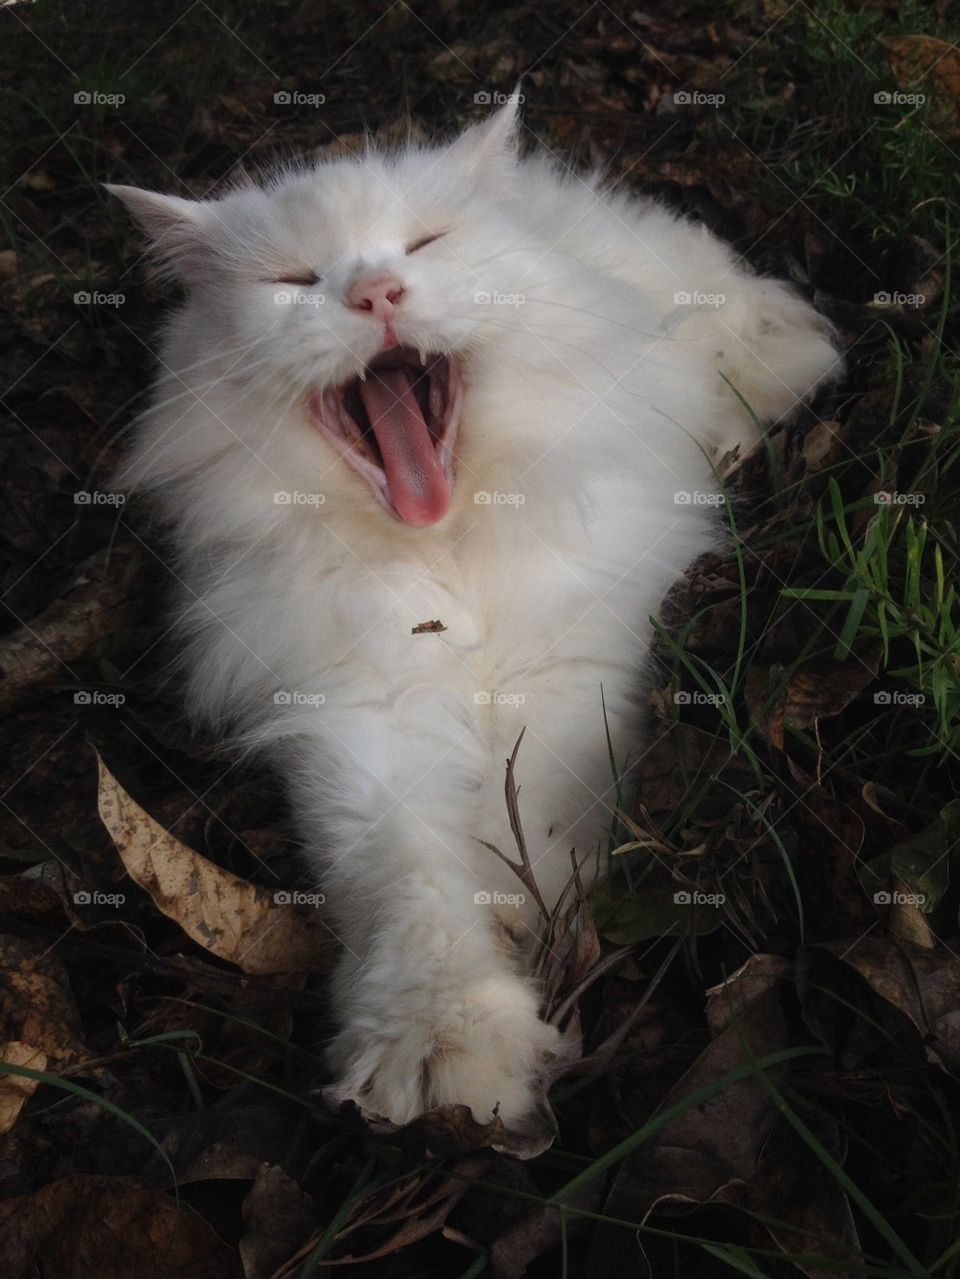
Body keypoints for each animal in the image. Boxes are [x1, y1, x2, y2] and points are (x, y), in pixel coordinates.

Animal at [110, 99, 838, 1151]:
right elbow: (412, 883)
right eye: (293, 282)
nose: (374, 292)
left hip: (708, 313)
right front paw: (446, 1052)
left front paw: (537, 919)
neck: (445, 551)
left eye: (425, 244)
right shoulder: (359, 720)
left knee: (764, 342)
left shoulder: (570, 666)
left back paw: (742, 426)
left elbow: (532, 811)